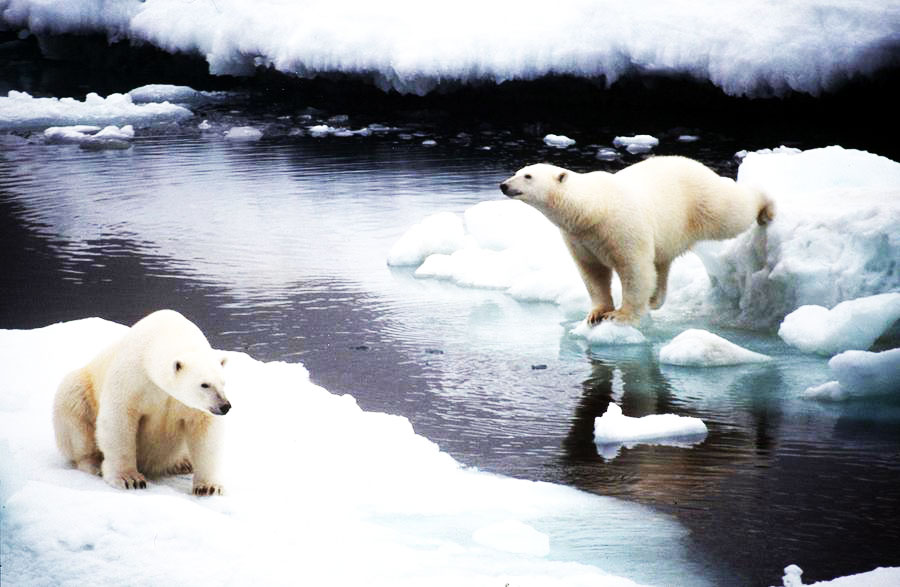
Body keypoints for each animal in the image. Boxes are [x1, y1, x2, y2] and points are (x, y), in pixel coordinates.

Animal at [53, 312, 232, 496]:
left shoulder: (190, 405)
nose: (225, 406)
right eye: (204, 385)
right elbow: (119, 419)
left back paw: (183, 463)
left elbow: (205, 430)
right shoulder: (132, 379)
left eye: (223, 382)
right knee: (75, 414)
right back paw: (94, 464)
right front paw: (129, 479)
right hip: (80, 390)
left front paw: (208, 487)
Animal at [500, 156, 772, 326]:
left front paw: (621, 316)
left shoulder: (621, 226)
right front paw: (596, 314)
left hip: (700, 202)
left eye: (527, 176)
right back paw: (654, 299)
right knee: (661, 264)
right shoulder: (580, 237)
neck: (592, 209)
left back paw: (766, 207)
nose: (503, 185)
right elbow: (593, 272)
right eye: (517, 172)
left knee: (731, 212)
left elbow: (634, 268)